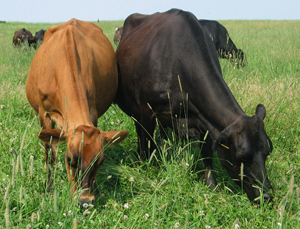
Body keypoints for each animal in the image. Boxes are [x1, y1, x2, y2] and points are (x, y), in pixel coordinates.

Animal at [26, 17, 128, 204]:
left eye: (100, 161)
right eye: (69, 159)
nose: (85, 200)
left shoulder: (92, 112)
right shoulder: (44, 114)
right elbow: (50, 153)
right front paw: (48, 190)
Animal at [115, 8, 274, 202]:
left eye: (267, 152)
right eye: (242, 155)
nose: (266, 195)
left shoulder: (204, 118)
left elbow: (207, 154)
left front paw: (211, 184)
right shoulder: (147, 111)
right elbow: (148, 143)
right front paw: (147, 168)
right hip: (134, 108)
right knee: (141, 133)